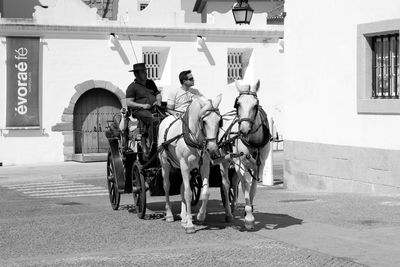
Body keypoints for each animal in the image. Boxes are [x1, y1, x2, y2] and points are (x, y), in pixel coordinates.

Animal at [159, 95, 222, 233]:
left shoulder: (204, 166)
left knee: (182, 188)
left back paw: (183, 216)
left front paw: (200, 216)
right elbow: (188, 194)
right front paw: (189, 224)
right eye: (204, 121)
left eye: (220, 121)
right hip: (165, 164)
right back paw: (169, 214)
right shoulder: (184, 165)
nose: (212, 149)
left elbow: (205, 192)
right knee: (166, 186)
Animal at [219, 80, 272, 231]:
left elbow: (252, 189)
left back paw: (233, 206)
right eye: (238, 104)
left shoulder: (260, 165)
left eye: (256, 105)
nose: (243, 130)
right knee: (226, 184)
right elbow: (245, 186)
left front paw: (249, 211)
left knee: (234, 182)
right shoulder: (239, 163)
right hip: (224, 160)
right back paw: (228, 213)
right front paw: (249, 217)